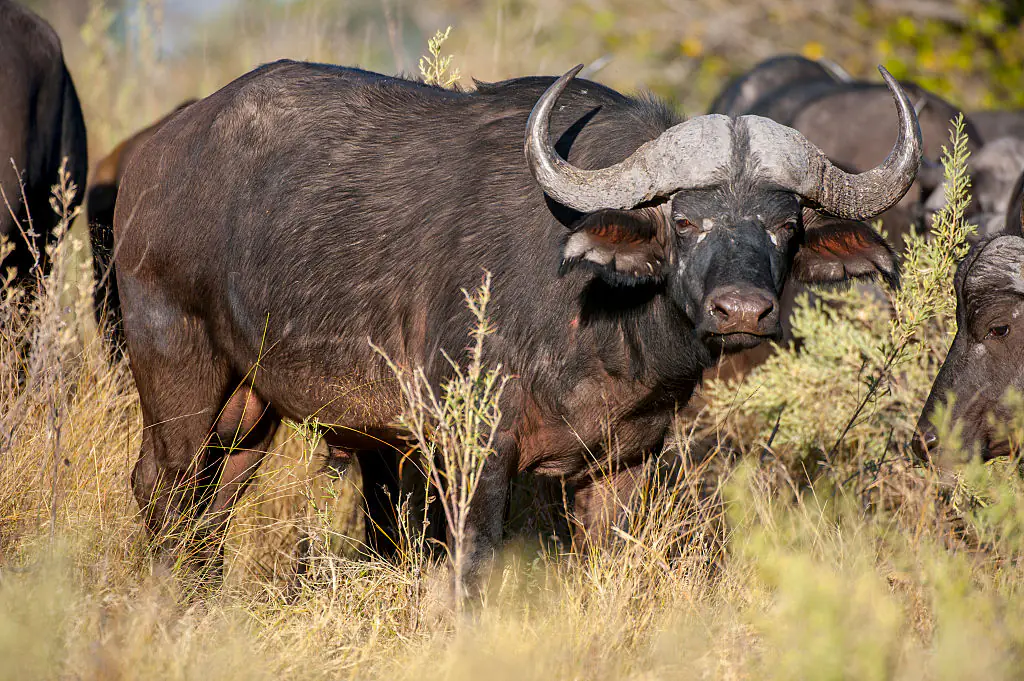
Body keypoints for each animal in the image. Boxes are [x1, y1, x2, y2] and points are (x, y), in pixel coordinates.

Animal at [113, 60, 920, 592]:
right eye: (685, 220)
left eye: (785, 226)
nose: (743, 311)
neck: (596, 318)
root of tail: (155, 154)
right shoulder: (473, 443)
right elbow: (473, 562)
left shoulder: (626, 462)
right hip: (175, 364)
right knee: (163, 485)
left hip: (250, 405)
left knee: (214, 497)